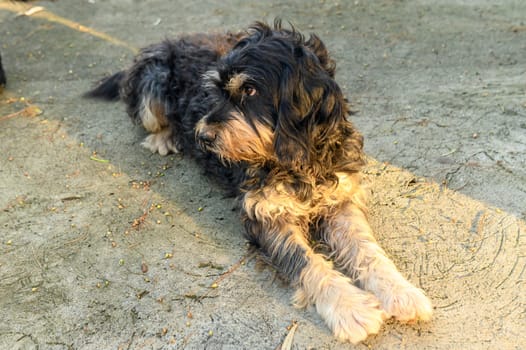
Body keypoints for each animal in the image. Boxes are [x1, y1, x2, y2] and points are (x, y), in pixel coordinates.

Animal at [86, 20, 434, 344]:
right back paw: (165, 137)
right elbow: (308, 262)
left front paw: (400, 292)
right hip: (153, 81)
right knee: (149, 117)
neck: (296, 159)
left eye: (250, 91)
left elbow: (367, 249)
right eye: (216, 91)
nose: (203, 136)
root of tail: (170, 40)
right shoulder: (266, 216)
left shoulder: (340, 199)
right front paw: (350, 308)